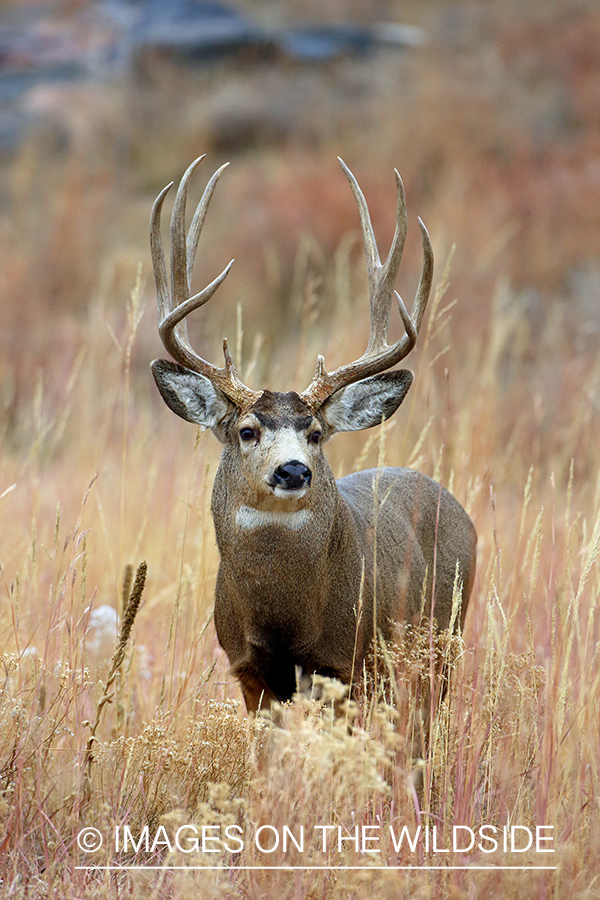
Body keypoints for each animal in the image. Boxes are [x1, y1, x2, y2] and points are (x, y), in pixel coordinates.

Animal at [151, 155, 478, 716]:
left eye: (317, 432)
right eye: (246, 430)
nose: (293, 469)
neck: (286, 621)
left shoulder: (350, 664)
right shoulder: (248, 671)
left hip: (439, 645)